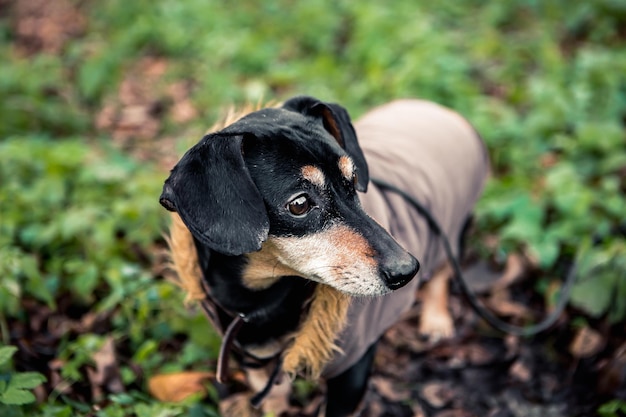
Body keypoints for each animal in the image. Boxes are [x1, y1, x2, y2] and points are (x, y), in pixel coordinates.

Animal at [157, 96, 488, 414]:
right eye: (299, 204)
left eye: (353, 181)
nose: (407, 270)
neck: (259, 302)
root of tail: (436, 109)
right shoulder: (257, 367)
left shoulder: (352, 372)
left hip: (453, 227)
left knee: (444, 269)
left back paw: (436, 320)